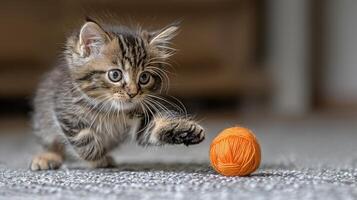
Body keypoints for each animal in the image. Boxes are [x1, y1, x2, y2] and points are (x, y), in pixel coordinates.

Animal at [30, 18, 204, 170]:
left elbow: (152, 129)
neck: (111, 110)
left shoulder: (139, 117)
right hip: (43, 120)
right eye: (115, 75)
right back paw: (48, 156)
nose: (132, 93)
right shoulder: (66, 113)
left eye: (144, 77)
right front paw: (97, 159)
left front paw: (185, 129)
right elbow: (84, 140)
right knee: (52, 142)